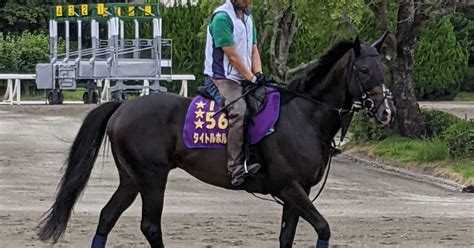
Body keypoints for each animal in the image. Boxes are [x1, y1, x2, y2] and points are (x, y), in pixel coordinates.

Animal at [37, 34, 394, 247]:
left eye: (383, 68)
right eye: (363, 70)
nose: (386, 110)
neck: (304, 115)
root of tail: (124, 105)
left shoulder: (298, 191)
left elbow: (287, 236)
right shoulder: (290, 187)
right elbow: (323, 228)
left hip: (131, 178)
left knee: (107, 217)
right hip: (152, 177)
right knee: (150, 225)